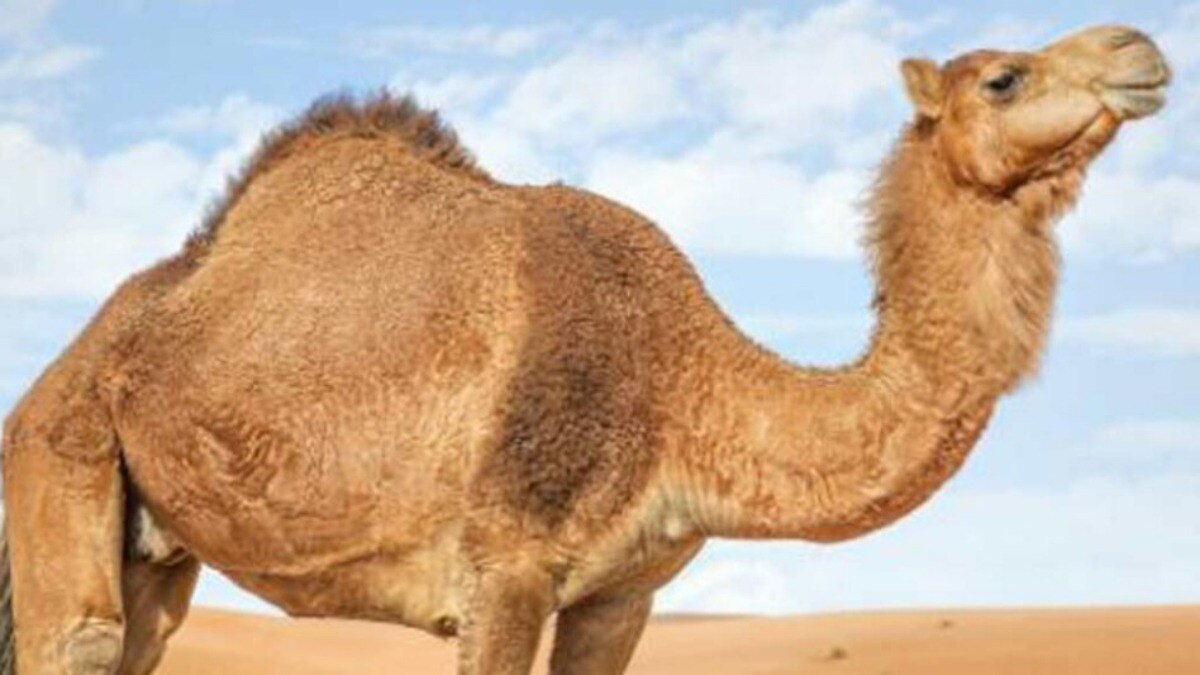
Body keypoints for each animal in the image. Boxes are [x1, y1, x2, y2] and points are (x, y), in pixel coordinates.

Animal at [0, 23, 1170, 675]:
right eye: (1005, 78)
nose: (1140, 48)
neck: (680, 381)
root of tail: (69, 361)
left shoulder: (625, 594)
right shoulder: (505, 567)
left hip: (156, 541)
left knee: (143, 636)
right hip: (61, 442)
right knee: (82, 639)